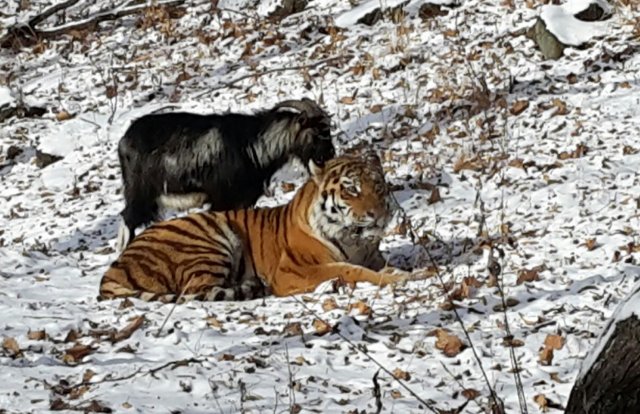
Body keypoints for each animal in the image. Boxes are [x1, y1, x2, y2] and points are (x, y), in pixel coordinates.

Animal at [97, 151, 408, 300]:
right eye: (351, 189)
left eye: (377, 185)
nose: (379, 214)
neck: (355, 240)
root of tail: (114, 267)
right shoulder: (293, 270)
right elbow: (349, 270)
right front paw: (402, 277)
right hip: (210, 239)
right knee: (196, 291)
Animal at [115, 98, 336, 251]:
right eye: (317, 132)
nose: (329, 155)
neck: (251, 145)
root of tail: (123, 141)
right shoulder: (221, 200)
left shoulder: (243, 201)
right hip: (140, 193)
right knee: (127, 219)